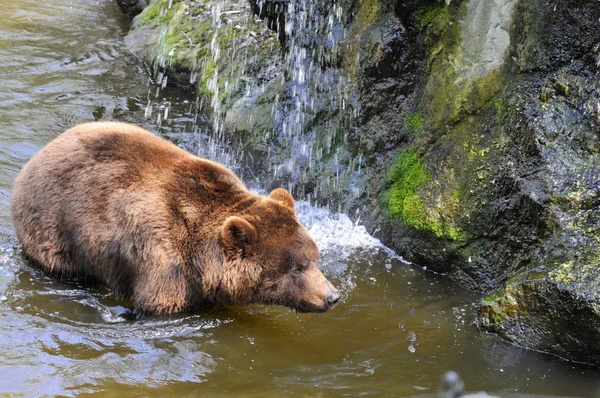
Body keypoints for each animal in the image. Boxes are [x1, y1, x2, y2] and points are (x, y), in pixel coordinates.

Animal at [11, 121, 340, 314]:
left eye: (316, 258)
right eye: (297, 268)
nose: (332, 296)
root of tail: (39, 154)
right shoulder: (162, 258)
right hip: (53, 227)